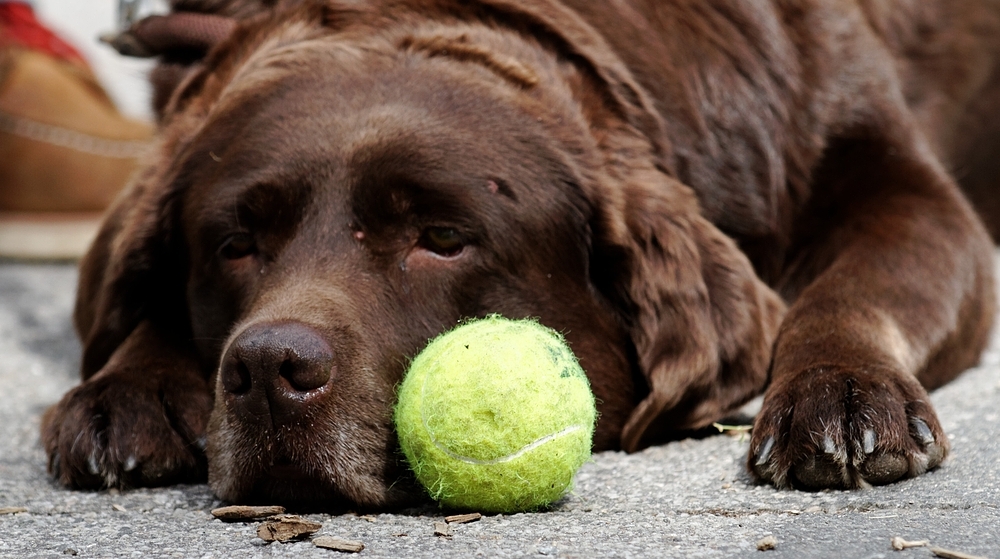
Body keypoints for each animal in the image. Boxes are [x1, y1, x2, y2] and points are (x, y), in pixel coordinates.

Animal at [41, 0, 1000, 508]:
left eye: (442, 239)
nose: (271, 368)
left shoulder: (903, 186)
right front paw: (127, 389)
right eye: (236, 245)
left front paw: (843, 388)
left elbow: (855, 288)